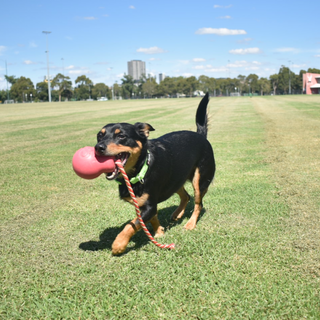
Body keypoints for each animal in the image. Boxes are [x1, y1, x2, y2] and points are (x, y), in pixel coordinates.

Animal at [94, 93, 215, 255]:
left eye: (121, 136)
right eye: (99, 136)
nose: (98, 147)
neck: (141, 169)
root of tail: (201, 135)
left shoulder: (149, 205)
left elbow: (131, 224)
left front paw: (119, 244)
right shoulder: (146, 204)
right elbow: (151, 219)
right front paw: (159, 232)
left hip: (200, 180)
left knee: (198, 203)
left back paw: (190, 223)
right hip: (175, 179)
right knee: (186, 196)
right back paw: (177, 213)